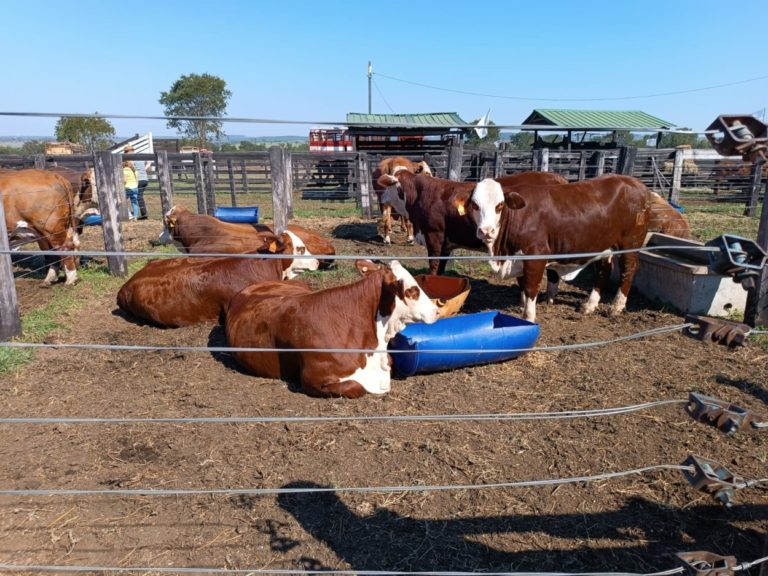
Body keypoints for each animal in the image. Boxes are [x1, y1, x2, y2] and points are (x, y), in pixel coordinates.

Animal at [376, 170, 568, 276]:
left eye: (388, 187)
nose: (382, 198)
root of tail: (558, 178)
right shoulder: (446, 243)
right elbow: (441, 267)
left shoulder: (434, 235)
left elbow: (434, 264)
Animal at [464, 173, 652, 322]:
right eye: (475, 205)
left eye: (500, 205)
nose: (486, 231)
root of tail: (636, 183)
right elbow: (523, 284)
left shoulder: (535, 256)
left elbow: (530, 287)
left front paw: (528, 318)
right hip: (604, 244)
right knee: (603, 270)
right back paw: (589, 305)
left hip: (630, 244)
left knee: (628, 270)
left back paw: (616, 307)